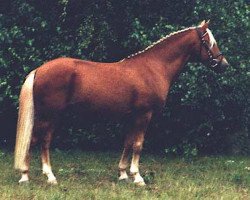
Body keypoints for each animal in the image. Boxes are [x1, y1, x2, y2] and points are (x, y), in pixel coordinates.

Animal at [13, 20, 229, 186]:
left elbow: (127, 143)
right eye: (209, 41)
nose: (224, 64)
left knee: (41, 141)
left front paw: (123, 174)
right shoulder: (144, 115)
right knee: (37, 140)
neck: (153, 67)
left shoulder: (132, 117)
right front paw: (138, 177)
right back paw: (32, 177)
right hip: (49, 115)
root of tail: (39, 70)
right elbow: (138, 145)